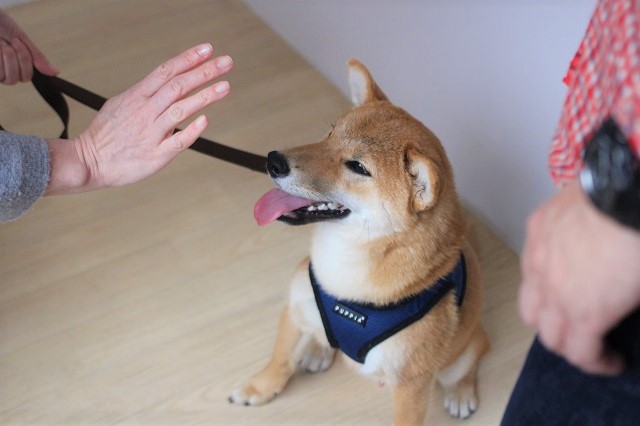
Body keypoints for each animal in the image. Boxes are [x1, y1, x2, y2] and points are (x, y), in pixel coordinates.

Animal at [231, 60, 490, 426]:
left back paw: (461, 392)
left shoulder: (411, 382)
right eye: (330, 133)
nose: (273, 161)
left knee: (470, 361)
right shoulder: (296, 308)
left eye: (357, 166)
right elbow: (279, 358)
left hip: (462, 353)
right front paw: (259, 388)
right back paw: (318, 349)